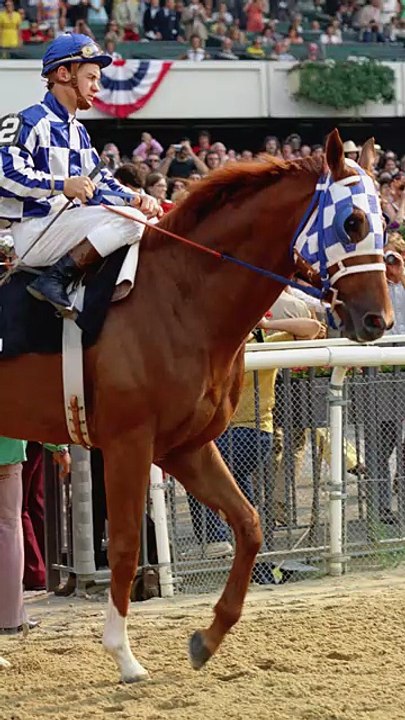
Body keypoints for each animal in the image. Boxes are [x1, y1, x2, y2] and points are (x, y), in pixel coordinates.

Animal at [0, 130, 393, 682]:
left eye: (383, 222)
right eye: (351, 222)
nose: (379, 320)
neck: (181, 298)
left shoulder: (185, 445)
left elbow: (249, 524)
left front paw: (207, 638)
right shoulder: (127, 443)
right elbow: (126, 545)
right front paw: (124, 655)